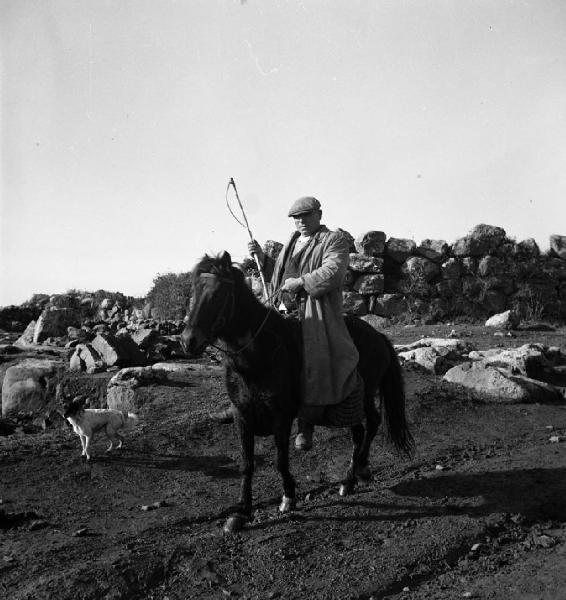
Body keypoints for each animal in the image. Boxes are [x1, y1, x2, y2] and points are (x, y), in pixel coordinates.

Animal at [183, 251, 418, 532]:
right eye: (194, 290)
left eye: (218, 294)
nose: (188, 341)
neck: (258, 357)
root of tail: (379, 335)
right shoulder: (242, 416)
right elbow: (246, 463)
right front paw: (242, 511)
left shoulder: (281, 416)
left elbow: (280, 459)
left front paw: (288, 497)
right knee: (359, 431)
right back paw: (355, 473)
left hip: (365, 392)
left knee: (371, 423)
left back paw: (352, 477)